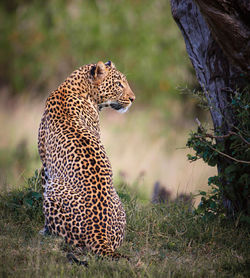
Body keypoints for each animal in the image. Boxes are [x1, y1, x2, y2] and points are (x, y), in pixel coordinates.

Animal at [37, 60, 135, 262]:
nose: (133, 98)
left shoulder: (45, 166)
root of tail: (99, 234)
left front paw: (44, 229)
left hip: (53, 189)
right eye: (119, 84)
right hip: (120, 205)